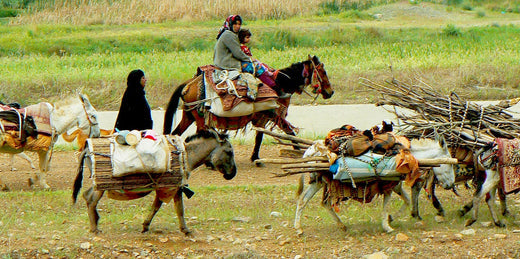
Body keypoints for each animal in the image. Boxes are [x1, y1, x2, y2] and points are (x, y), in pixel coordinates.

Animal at [71, 130, 238, 236]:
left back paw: (95, 222)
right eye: (229, 152)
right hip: (100, 185)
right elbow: (178, 209)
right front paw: (186, 230)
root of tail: (87, 148)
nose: (232, 174)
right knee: (91, 200)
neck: (185, 155)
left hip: (97, 184)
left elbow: (156, 207)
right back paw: (94, 229)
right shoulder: (172, 187)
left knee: (86, 196)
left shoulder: (166, 188)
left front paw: (145, 226)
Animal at [162, 55, 334, 165]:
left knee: (176, 133)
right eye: (323, 72)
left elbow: (265, 135)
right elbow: (282, 133)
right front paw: (297, 152)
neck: (279, 85)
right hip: (199, 118)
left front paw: (256, 157)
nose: (330, 92)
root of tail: (188, 84)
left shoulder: (265, 118)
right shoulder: (269, 116)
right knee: (199, 135)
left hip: (189, 116)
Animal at [294, 138, 458, 236]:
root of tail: (309, 151)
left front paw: (391, 219)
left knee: (312, 201)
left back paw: (339, 226)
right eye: (449, 163)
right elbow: (387, 206)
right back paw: (299, 229)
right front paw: (388, 226)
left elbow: (406, 200)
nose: (450, 185)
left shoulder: (395, 185)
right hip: (319, 181)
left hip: (319, 182)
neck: (406, 156)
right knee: (307, 201)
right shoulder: (389, 186)